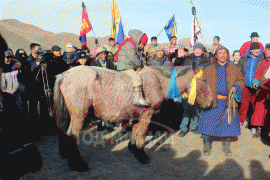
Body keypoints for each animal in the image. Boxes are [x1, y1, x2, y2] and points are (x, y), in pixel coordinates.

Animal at [53, 63, 213, 165]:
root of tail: (65, 74)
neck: (159, 83)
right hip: (79, 116)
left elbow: (135, 133)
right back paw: (78, 163)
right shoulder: (147, 115)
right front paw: (142, 155)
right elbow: (141, 135)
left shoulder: (137, 116)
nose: (211, 102)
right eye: (204, 80)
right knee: (72, 135)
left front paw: (134, 150)